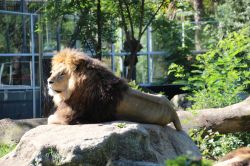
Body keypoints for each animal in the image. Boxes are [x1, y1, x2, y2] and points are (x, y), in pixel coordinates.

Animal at [47, 48, 182, 131]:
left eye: (62, 74)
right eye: (53, 71)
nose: (49, 81)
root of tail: (173, 110)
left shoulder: (69, 116)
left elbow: (49, 118)